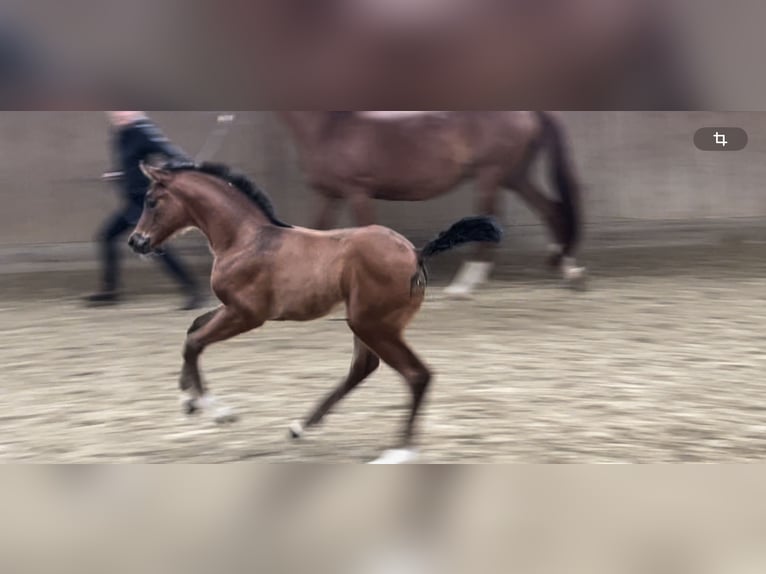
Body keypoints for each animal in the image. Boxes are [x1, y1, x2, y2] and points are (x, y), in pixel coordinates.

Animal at [127, 161, 504, 464]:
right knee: (364, 368)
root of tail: (416, 252)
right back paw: (299, 427)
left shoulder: (246, 314)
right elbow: (192, 329)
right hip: (367, 325)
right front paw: (187, 400)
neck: (245, 239)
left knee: (416, 375)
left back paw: (398, 452)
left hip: (372, 325)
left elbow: (195, 342)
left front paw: (218, 412)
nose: (136, 242)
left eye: (151, 200)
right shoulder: (231, 309)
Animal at [282, 110, 588, 296]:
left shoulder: (358, 192)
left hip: (491, 175)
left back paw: (463, 286)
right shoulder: (328, 195)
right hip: (514, 176)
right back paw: (569, 270)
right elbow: (315, 230)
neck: (330, 128)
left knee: (492, 218)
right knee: (551, 210)